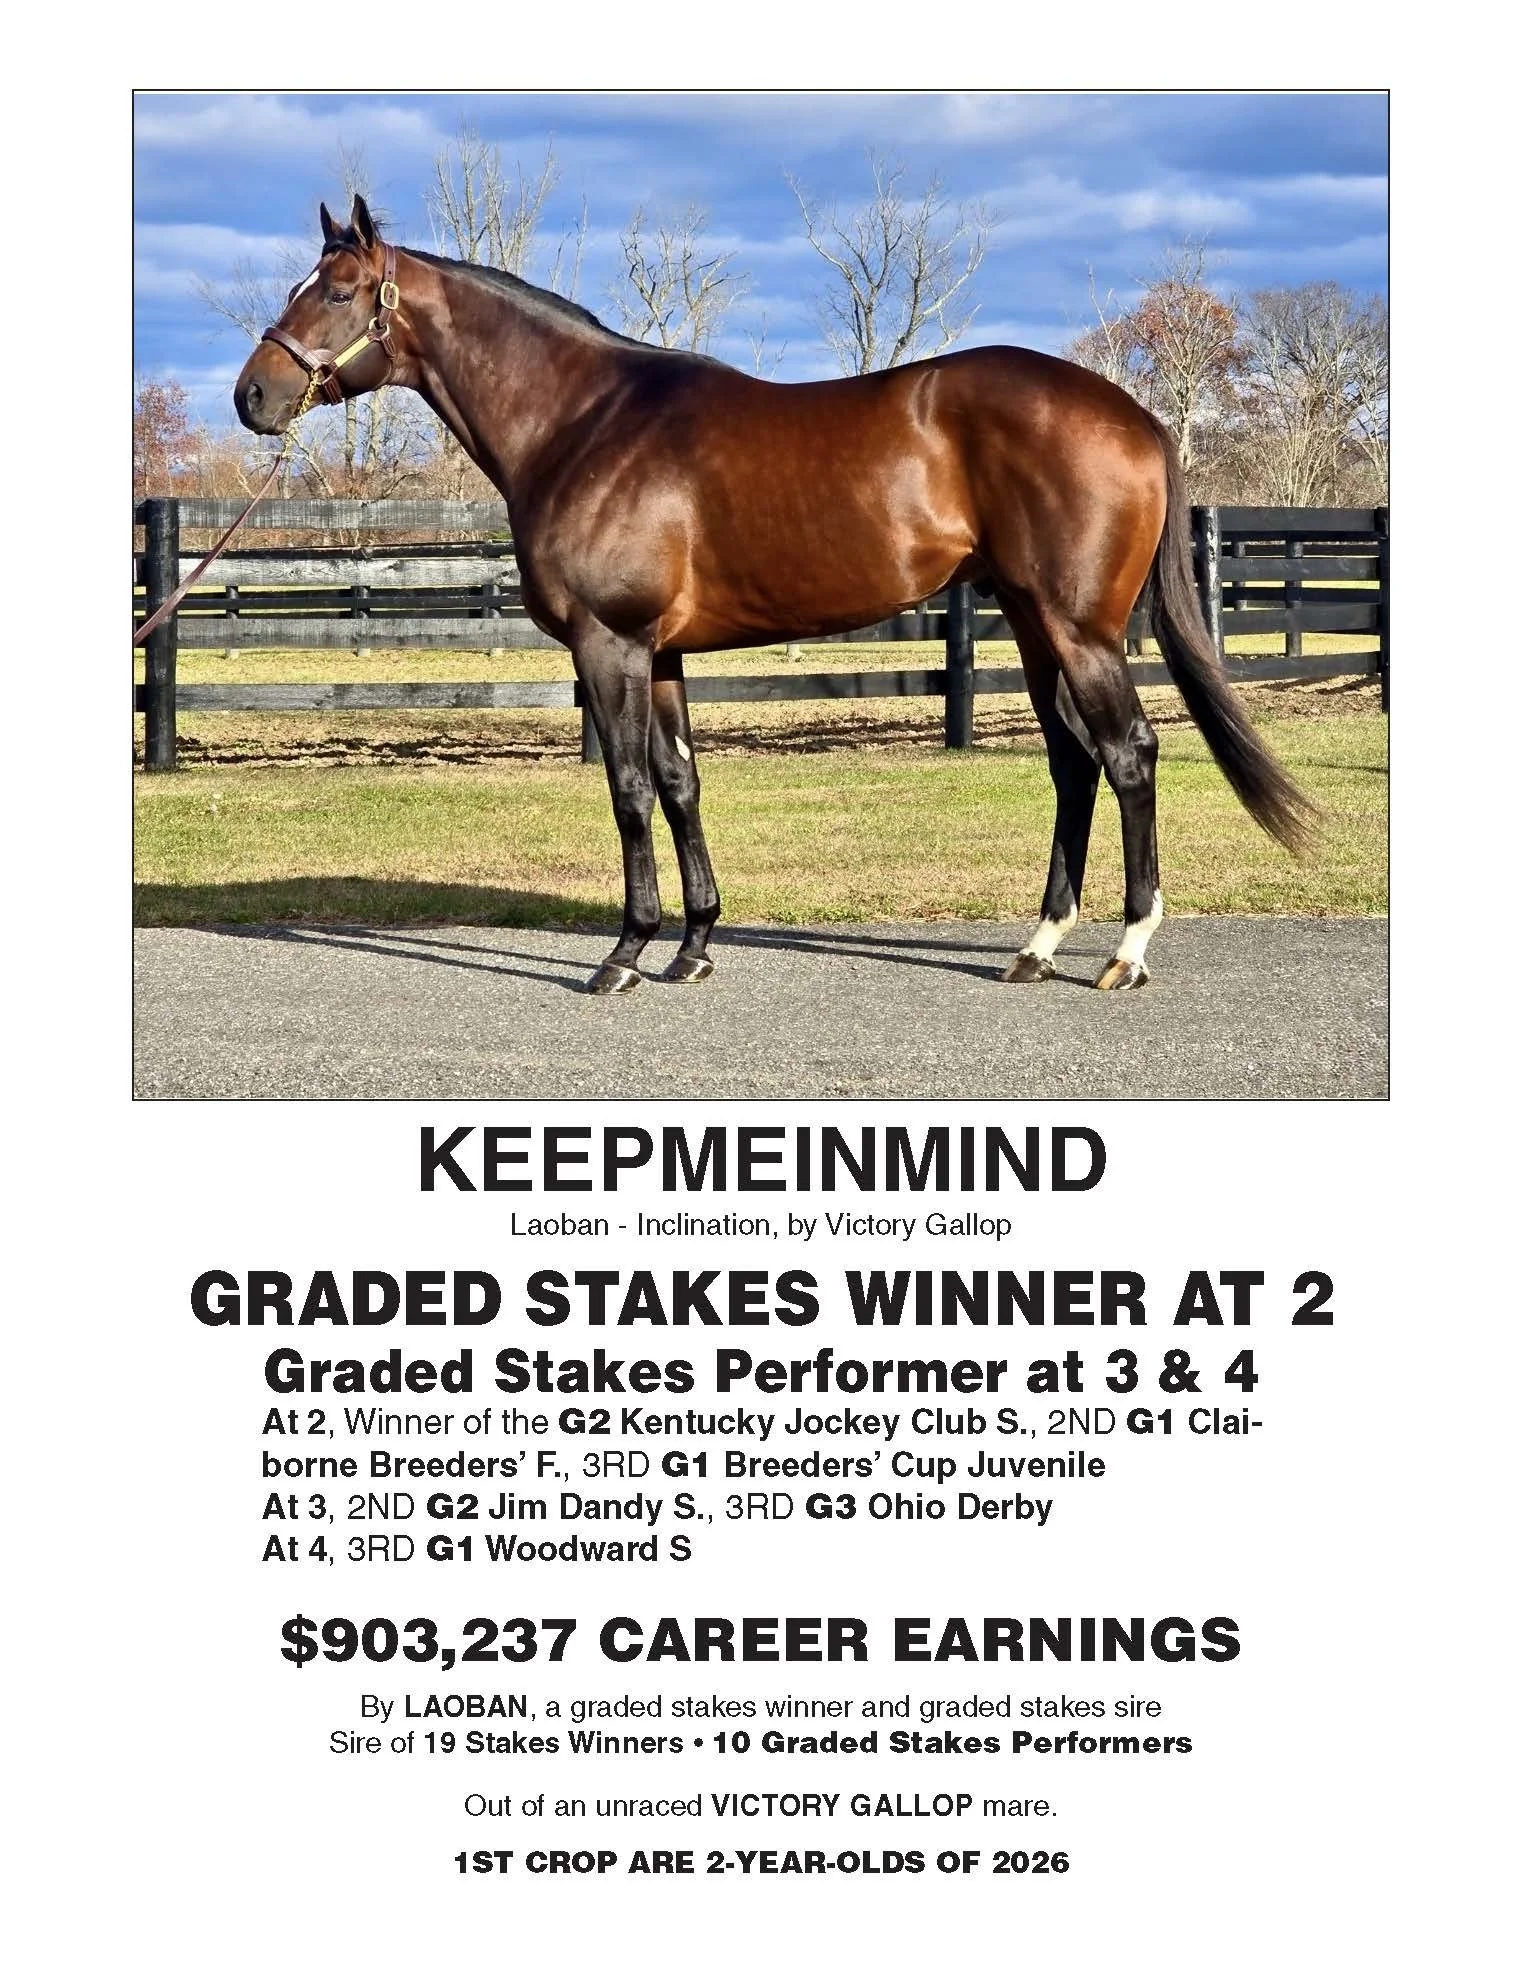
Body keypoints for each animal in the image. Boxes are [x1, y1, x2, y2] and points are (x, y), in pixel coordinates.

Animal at [236, 195, 1311, 996]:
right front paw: (692, 946)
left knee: (1127, 755)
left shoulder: (609, 645)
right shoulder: (661, 653)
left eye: (338, 291)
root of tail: (1134, 415)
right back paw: (1037, 946)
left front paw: (624, 953)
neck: (582, 422)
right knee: (1072, 765)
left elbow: (628, 790)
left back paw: (1126, 951)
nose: (252, 397)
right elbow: (679, 784)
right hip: (1033, 623)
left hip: (1079, 630)